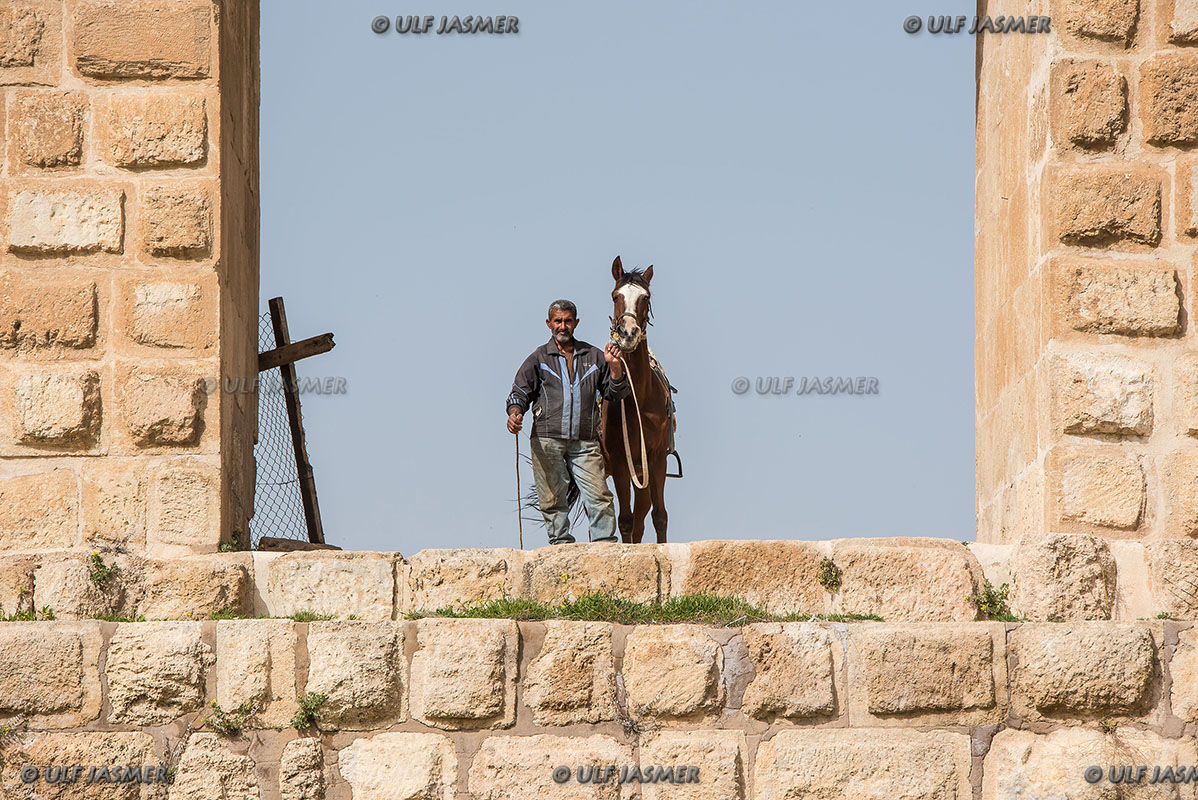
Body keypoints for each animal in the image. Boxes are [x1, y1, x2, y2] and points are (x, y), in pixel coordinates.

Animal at [599, 256, 675, 543]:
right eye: (615, 296)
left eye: (646, 297)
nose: (629, 332)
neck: (639, 401)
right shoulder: (621, 461)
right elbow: (625, 520)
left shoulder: (656, 458)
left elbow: (659, 516)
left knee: (643, 518)